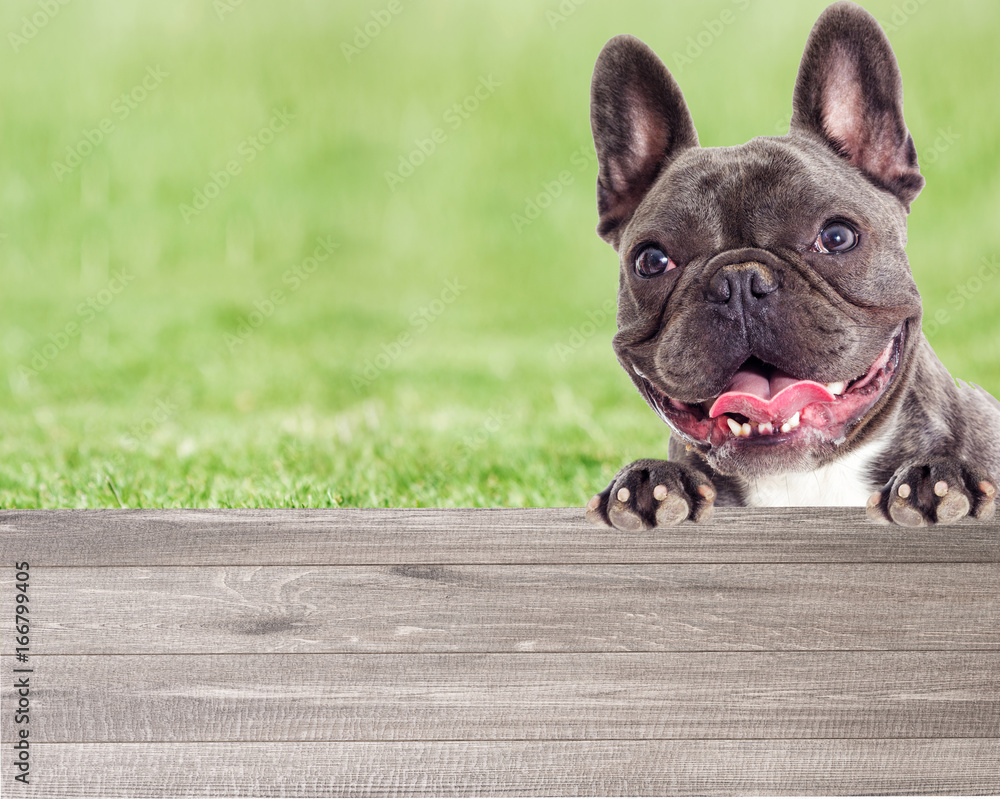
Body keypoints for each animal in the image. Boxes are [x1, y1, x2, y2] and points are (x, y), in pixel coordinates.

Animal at [584, 1, 1000, 532]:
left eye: (837, 237)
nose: (740, 281)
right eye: (652, 261)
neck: (806, 481)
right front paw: (651, 482)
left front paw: (937, 480)